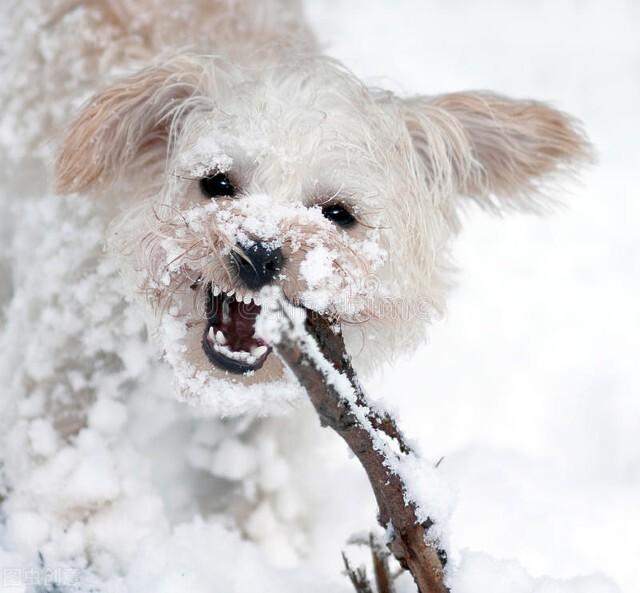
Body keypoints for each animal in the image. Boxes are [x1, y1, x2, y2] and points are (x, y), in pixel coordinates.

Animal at [0, 0, 592, 584]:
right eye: (217, 183)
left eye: (338, 213)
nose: (257, 253)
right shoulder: (71, 339)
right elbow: (64, 445)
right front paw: (80, 535)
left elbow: (262, 466)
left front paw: (265, 543)